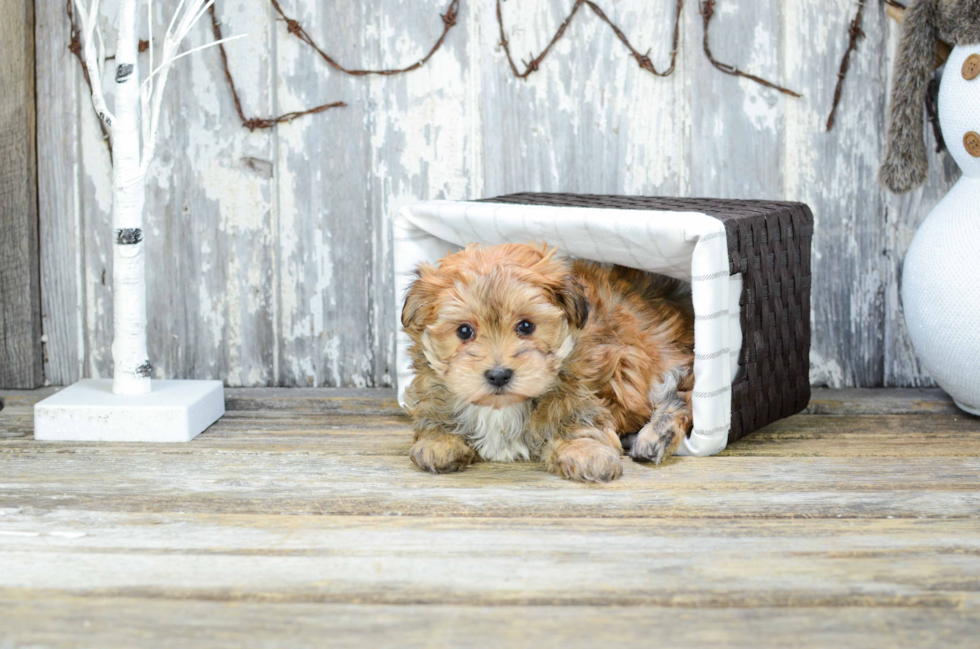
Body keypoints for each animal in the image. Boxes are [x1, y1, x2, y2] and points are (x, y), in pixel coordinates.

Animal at [400, 243, 696, 480]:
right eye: (464, 331)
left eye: (526, 326)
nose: (498, 375)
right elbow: (434, 415)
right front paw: (439, 441)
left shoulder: (584, 390)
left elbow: (577, 420)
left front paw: (587, 453)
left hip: (665, 362)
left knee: (682, 397)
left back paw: (656, 437)